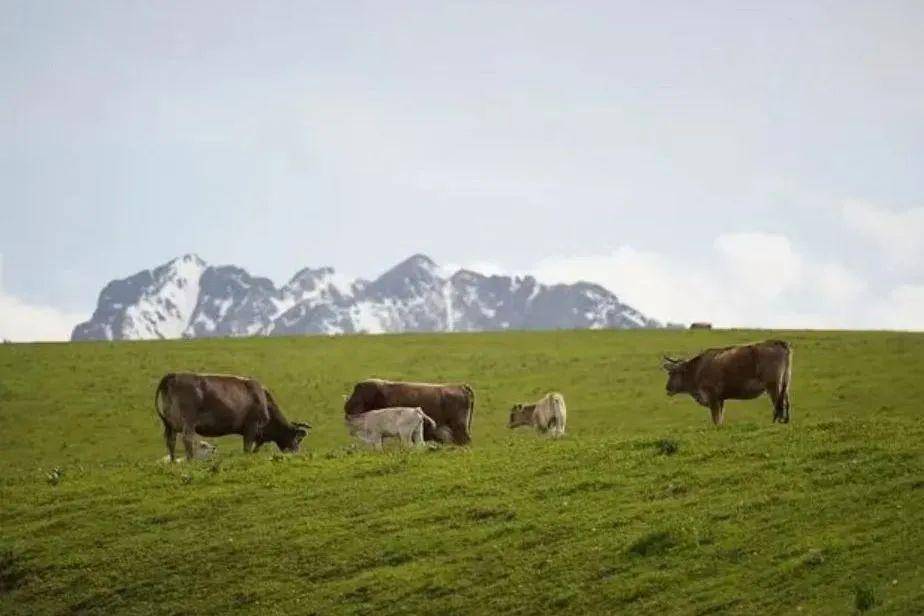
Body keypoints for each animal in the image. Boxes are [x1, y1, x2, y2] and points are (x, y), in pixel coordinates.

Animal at [153, 370, 308, 462]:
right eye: (298, 439)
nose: (297, 453)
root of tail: (174, 375)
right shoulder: (251, 426)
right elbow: (247, 448)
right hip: (188, 422)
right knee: (187, 439)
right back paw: (190, 461)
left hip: (170, 424)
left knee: (171, 441)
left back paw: (173, 462)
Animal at [660, 340, 792, 426]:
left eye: (671, 373)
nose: (667, 387)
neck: (698, 368)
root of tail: (777, 342)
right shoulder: (720, 399)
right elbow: (720, 418)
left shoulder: (713, 398)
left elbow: (716, 418)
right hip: (784, 384)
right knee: (785, 401)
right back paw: (785, 421)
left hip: (774, 386)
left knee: (779, 404)